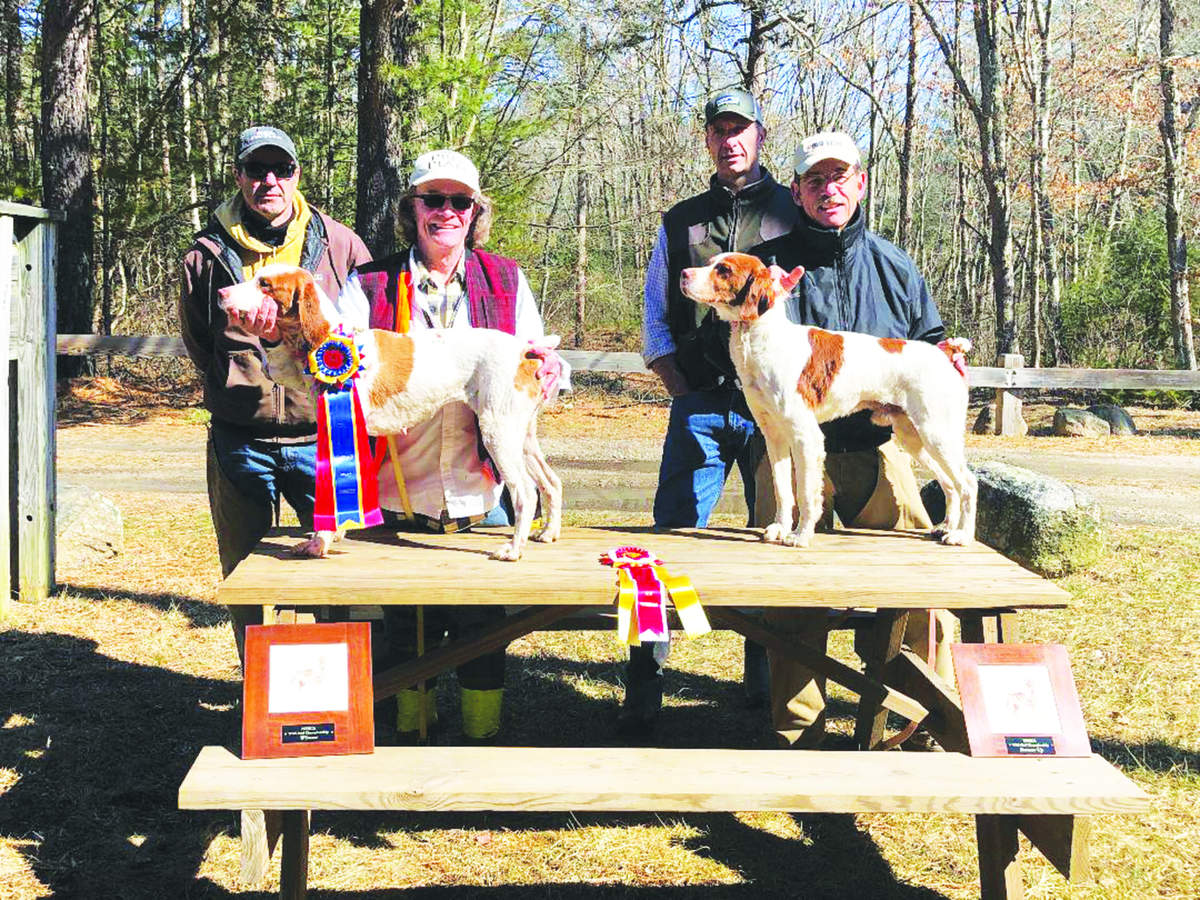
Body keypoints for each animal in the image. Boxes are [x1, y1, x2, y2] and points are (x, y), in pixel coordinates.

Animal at [218, 262, 564, 564]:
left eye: (264, 284)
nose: (222, 293)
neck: (330, 339)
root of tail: (524, 351)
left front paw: (320, 542)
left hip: (498, 433)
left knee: (526, 493)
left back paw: (513, 550)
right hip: (522, 437)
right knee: (551, 482)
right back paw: (548, 533)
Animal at [676, 252, 974, 549]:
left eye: (724, 270)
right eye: (710, 263)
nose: (683, 273)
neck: (763, 338)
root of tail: (946, 354)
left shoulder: (806, 436)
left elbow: (806, 493)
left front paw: (800, 535)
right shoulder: (774, 435)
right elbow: (782, 489)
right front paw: (780, 528)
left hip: (936, 433)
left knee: (968, 483)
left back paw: (961, 535)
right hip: (914, 436)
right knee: (950, 484)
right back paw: (946, 527)